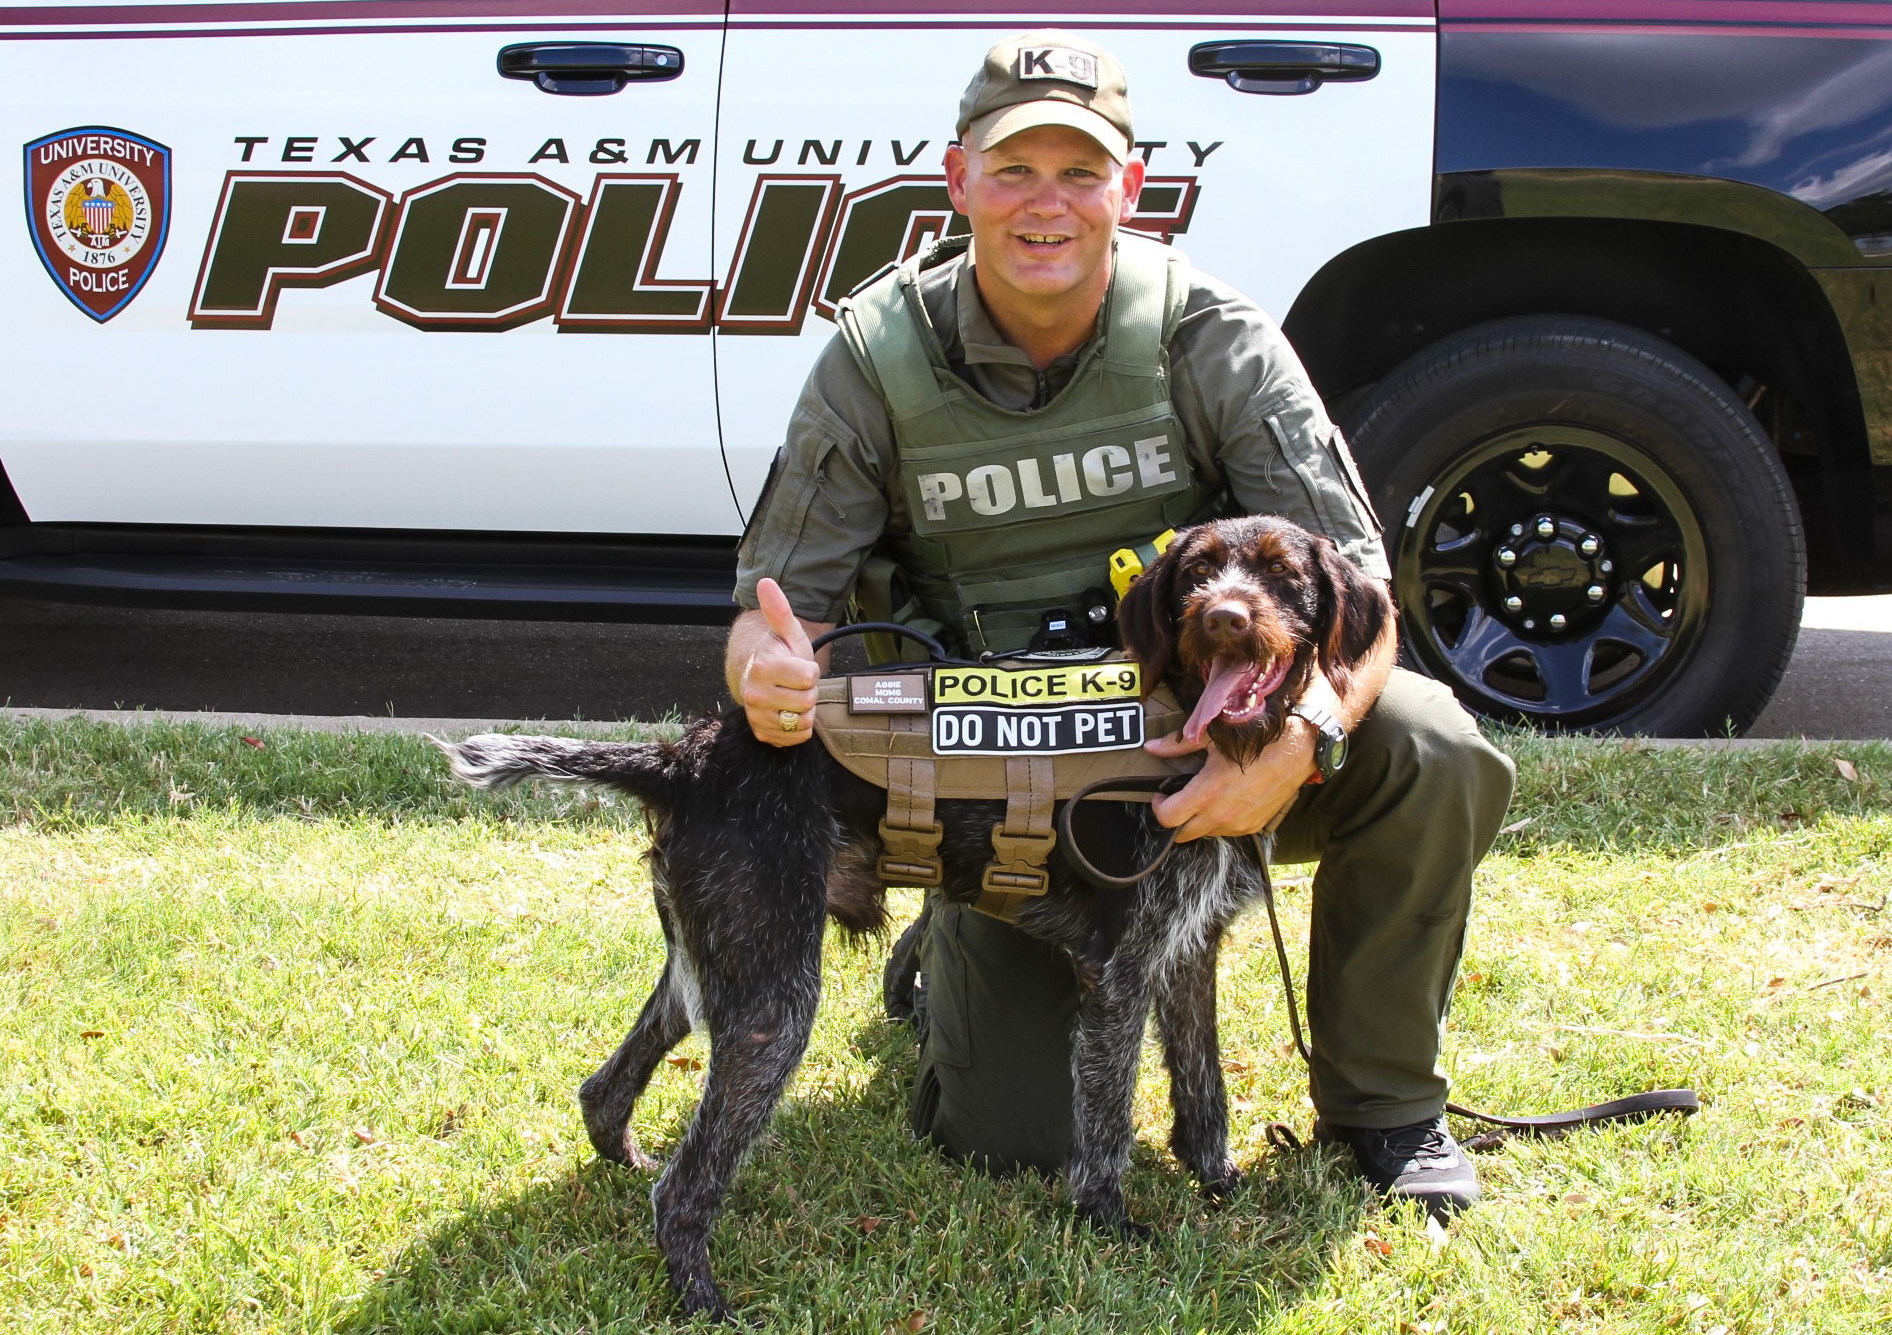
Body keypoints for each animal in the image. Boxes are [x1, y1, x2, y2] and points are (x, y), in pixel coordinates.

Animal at [438, 510, 1392, 1323]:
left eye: (1281, 576)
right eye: (1196, 574)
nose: (1225, 618)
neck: (1186, 724)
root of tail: (690, 756)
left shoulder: (1188, 952)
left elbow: (1204, 1087)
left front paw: (1219, 1182)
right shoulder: (1120, 975)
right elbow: (1108, 1123)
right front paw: (1109, 1223)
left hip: (709, 970)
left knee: (606, 1091)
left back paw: (626, 1164)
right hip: (773, 1006)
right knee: (682, 1187)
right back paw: (703, 1299)